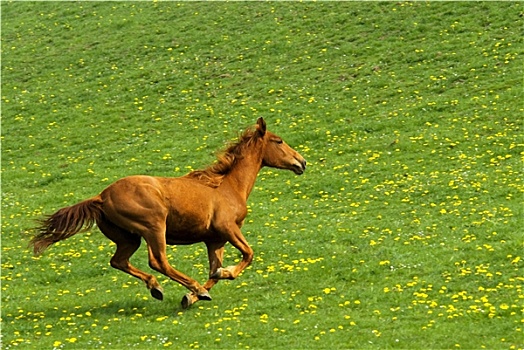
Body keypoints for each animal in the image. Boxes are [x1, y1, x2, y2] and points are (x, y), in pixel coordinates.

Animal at [29, 118, 308, 308]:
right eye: (279, 141)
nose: (302, 162)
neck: (227, 186)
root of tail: (101, 196)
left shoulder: (214, 240)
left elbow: (213, 271)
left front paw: (192, 297)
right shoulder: (228, 228)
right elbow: (247, 255)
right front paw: (206, 286)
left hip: (129, 238)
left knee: (118, 261)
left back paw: (157, 288)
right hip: (154, 227)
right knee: (158, 261)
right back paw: (181, 285)